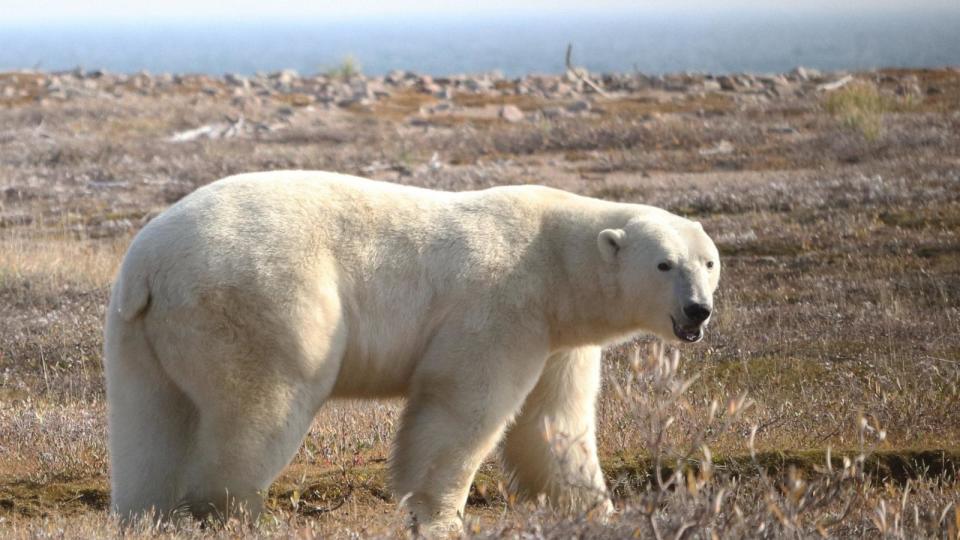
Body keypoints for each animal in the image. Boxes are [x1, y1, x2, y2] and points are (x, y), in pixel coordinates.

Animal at [105, 170, 720, 532]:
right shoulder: (501, 306)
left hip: (139, 334)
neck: (555, 260)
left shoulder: (559, 337)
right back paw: (233, 513)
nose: (698, 310)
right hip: (260, 302)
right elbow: (463, 407)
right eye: (664, 263)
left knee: (149, 423)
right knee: (259, 407)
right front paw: (440, 517)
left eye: (708, 261)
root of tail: (150, 265)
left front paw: (596, 510)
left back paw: (146, 515)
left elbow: (553, 423)